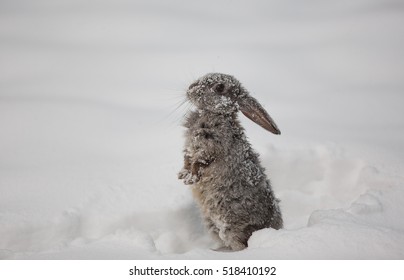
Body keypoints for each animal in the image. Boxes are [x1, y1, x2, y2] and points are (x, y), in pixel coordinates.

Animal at [178, 72, 282, 252]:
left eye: (219, 87)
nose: (190, 89)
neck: (214, 114)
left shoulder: (212, 148)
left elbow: (200, 162)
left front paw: (191, 178)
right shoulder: (190, 149)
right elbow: (187, 159)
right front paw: (182, 175)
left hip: (230, 227)